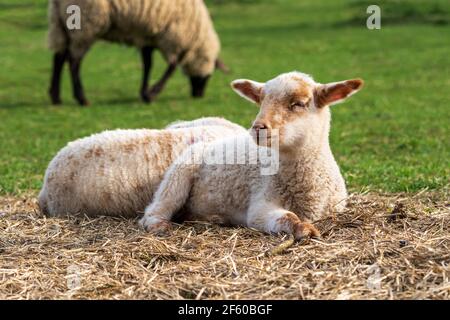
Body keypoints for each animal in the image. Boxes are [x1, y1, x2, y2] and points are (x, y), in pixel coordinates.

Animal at [48, 0, 229, 106]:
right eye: (209, 76)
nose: (198, 95)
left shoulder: (148, 36)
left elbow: (148, 64)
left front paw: (144, 93)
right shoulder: (173, 35)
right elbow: (172, 65)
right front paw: (152, 94)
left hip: (61, 23)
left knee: (59, 57)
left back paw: (56, 97)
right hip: (87, 22)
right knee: (74, 61)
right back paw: (82, 98)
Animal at [139, 70, 364, 240]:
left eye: (299, 103)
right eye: (261, 101)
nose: (258, 128)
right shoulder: (260, 204)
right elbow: (287, 217)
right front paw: (304, 229)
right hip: (176, 178)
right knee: (154, 210)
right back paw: (159, 225)